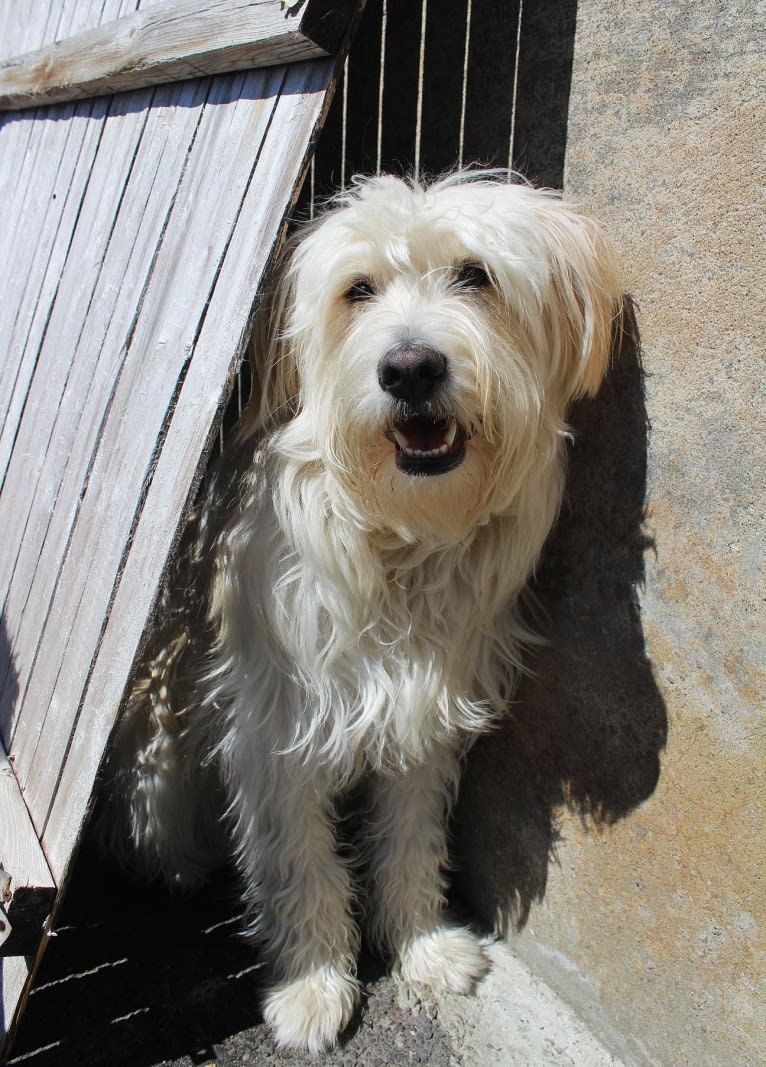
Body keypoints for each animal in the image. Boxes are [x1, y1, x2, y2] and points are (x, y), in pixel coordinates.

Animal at [103, 172, 623, 1049]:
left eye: (475, 275)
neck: (398, 543)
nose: (410, 368)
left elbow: (410, 839)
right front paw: (312, 984)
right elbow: (301, 862)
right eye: (358, 290)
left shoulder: (423, 710)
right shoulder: (276, 727)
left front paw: (423, 943)